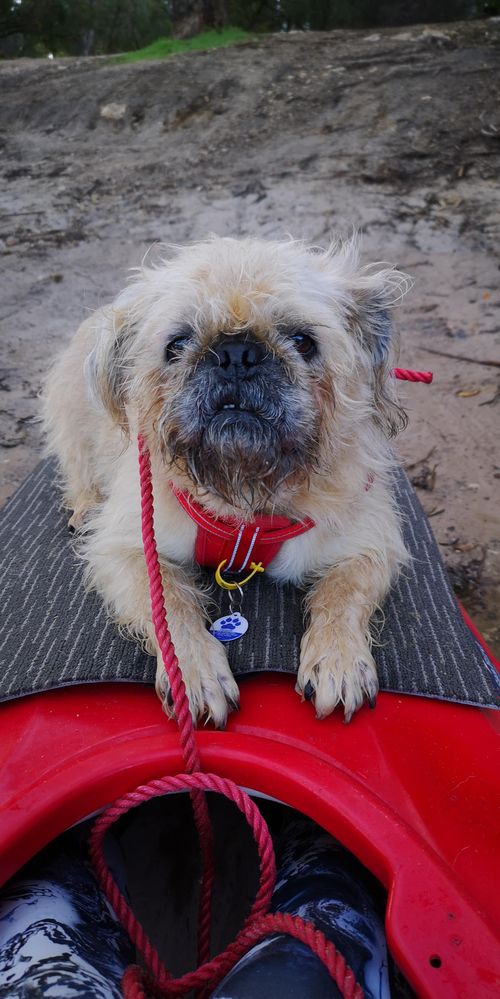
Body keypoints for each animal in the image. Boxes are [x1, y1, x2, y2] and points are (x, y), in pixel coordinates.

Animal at [44, 238, 410, 732]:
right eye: (177, 344)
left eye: (303, 342)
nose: (237, 353)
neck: (247, 499)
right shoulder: (129, 549)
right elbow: (170, 607)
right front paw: (194, 670)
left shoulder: (369, 546)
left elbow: (344, 595)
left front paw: (339, 658)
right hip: (72, 419)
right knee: (78, 468)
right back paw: (84, 507)